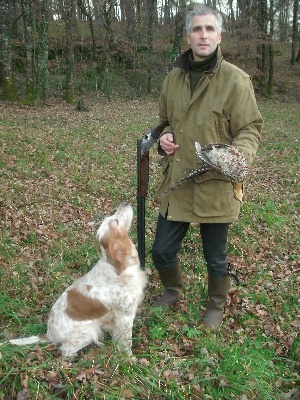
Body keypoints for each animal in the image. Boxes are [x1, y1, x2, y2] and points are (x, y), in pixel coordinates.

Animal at [6, 203, 147, 356]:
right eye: (115, 221)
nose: (125, 203)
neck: (117, 267)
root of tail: (48, 334)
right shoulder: (125, 317)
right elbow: (126, 342)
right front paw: (129, 358)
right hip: (89, 332)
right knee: (65, 351)